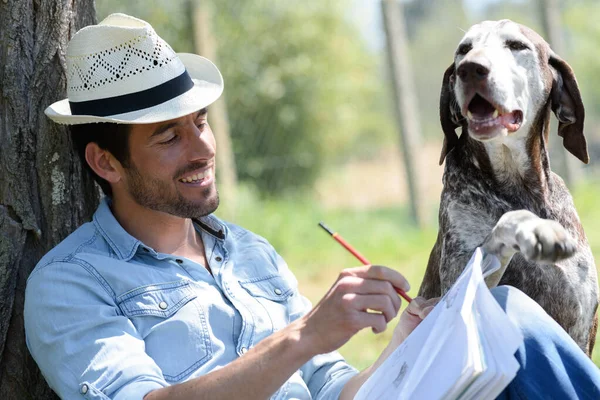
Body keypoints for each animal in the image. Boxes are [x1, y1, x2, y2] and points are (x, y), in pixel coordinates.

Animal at [420, 20, 596, 354]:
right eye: (464, 50)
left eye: (516, 46)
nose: (470, 68)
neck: (520, 189)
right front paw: (531, 229)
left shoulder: (581, 328)